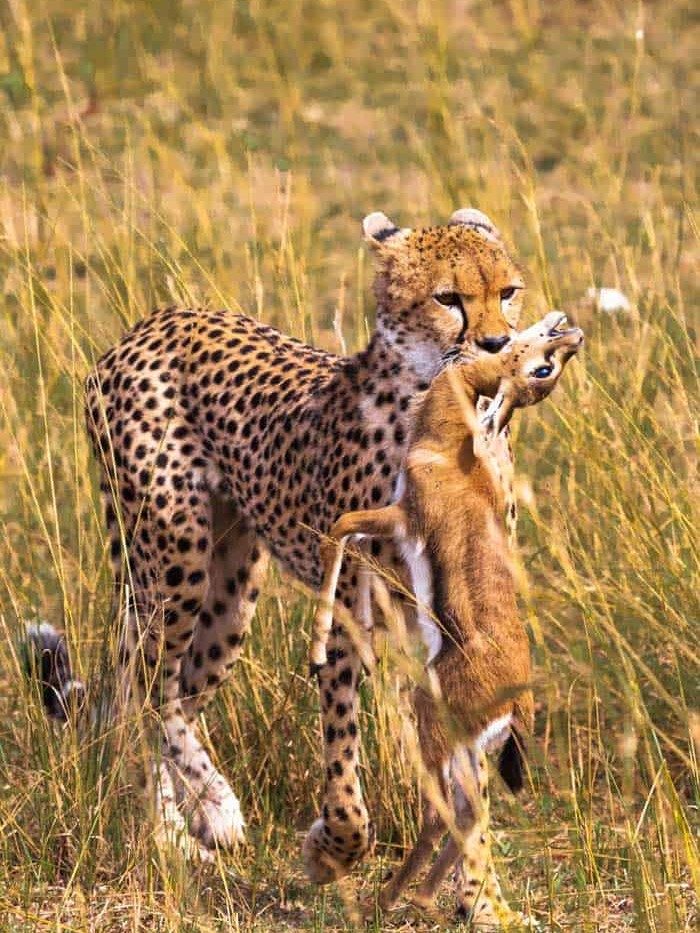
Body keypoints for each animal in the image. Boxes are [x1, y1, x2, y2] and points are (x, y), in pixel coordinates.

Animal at [35, 207, 526, 880]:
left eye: (508, 292)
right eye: (448, 298)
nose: (499, 344)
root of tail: (152, 323)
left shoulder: (456, 610)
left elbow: (459, 757)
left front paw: (472, 880)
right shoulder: (348, 605)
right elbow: (343, 744)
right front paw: (337, 844)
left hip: (230, 592)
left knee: (171, 691)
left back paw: (190, 813)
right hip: (173, 562)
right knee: (143, 687)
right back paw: (185, 825)